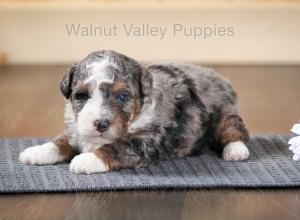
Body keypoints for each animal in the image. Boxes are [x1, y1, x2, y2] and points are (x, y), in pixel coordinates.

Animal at [18, 49, 248, 174]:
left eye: (122, 97)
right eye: (82, 96)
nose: (101, 124)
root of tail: (217, 75)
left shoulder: (145, 142)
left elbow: (115, 147)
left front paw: (87, 159)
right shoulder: (77, 129)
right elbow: (62, 140)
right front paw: (36, 151)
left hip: (225, 113)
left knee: (234, 131)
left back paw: (236, 150)